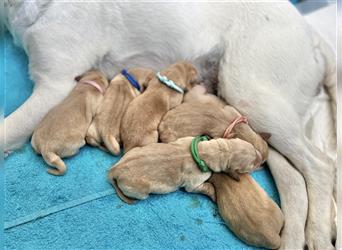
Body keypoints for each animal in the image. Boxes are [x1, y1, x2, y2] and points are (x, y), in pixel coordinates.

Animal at [108, 137, 260, 203]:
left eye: (252, 146)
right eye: (251, 165)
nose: (260, 156)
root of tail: (114, 169)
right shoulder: (193, 184)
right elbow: (206, 187)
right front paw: (213, 195)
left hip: (135, 150)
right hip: (140, 191)